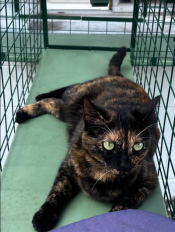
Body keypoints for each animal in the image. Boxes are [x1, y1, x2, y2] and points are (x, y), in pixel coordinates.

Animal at [15, 46, 161, 231]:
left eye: (138, 147)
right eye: (109, 145)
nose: (125, 165)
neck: (103, 174)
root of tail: (120, 78)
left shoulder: (150, 180)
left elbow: (129, 200)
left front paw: (115, 214)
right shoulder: (68, 167)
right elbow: (57, 191)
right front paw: (44, 216)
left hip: (64, 112)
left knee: (51, 103)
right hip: (72, 99)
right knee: (60, 93)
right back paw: (29, 106)